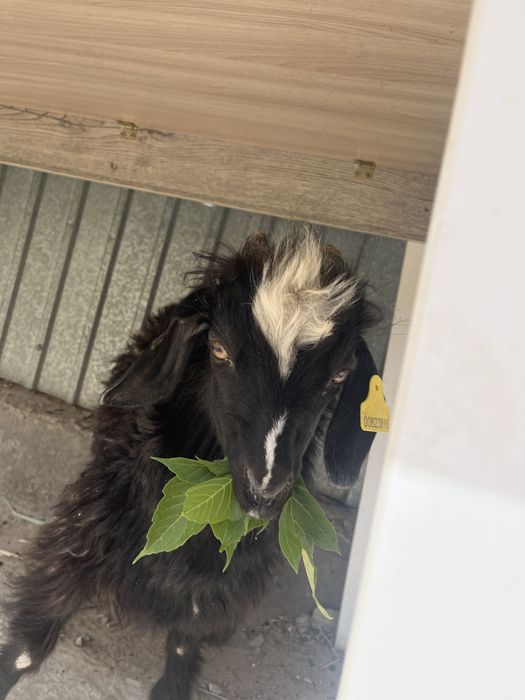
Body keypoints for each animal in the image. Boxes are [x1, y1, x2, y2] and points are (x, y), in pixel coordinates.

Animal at [0, 229, 378, 699]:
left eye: (339, 376)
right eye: (218, 349)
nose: (264, 492)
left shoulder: (222, 585)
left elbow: (184, 647)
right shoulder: (88, 528)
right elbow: (28, 646)